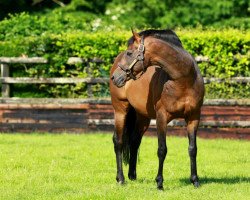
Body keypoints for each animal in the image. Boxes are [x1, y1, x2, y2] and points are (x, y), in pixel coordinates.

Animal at [110, 28, 204, 190]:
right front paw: (159, 182)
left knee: (134, 141)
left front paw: (195, 180)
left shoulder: (193, 117)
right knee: (119, 142)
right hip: (120, 111)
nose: (115, 77)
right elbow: (162, 149)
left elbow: (193, 149)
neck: (184, 80)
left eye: (130, 53)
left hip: (143, 117)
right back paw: (121, 179)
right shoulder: (162, 117)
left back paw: (132, 175)